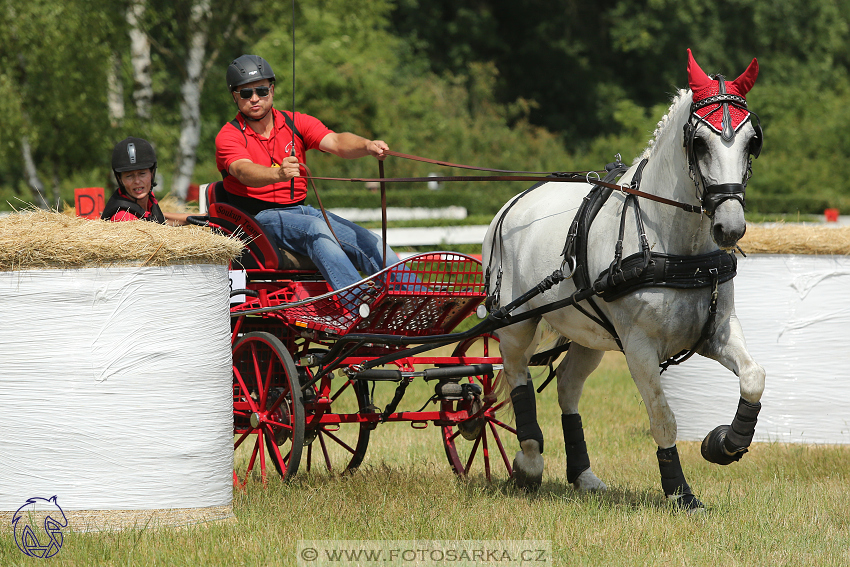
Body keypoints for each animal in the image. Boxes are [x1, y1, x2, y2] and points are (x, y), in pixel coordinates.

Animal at [480, 50, 764, 510]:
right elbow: (663, 419)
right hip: (516, 323)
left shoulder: (716, 331)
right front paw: (680, 492)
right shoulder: (639, 348)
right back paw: (529, 462)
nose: (730, 227)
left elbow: (754, 377)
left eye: (752, 140)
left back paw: (583, 475)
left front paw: (725, 443)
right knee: (519, 376)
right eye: (699, 143)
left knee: (567, 386)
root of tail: (513, 203)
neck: (675, 245)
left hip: (587, 333)